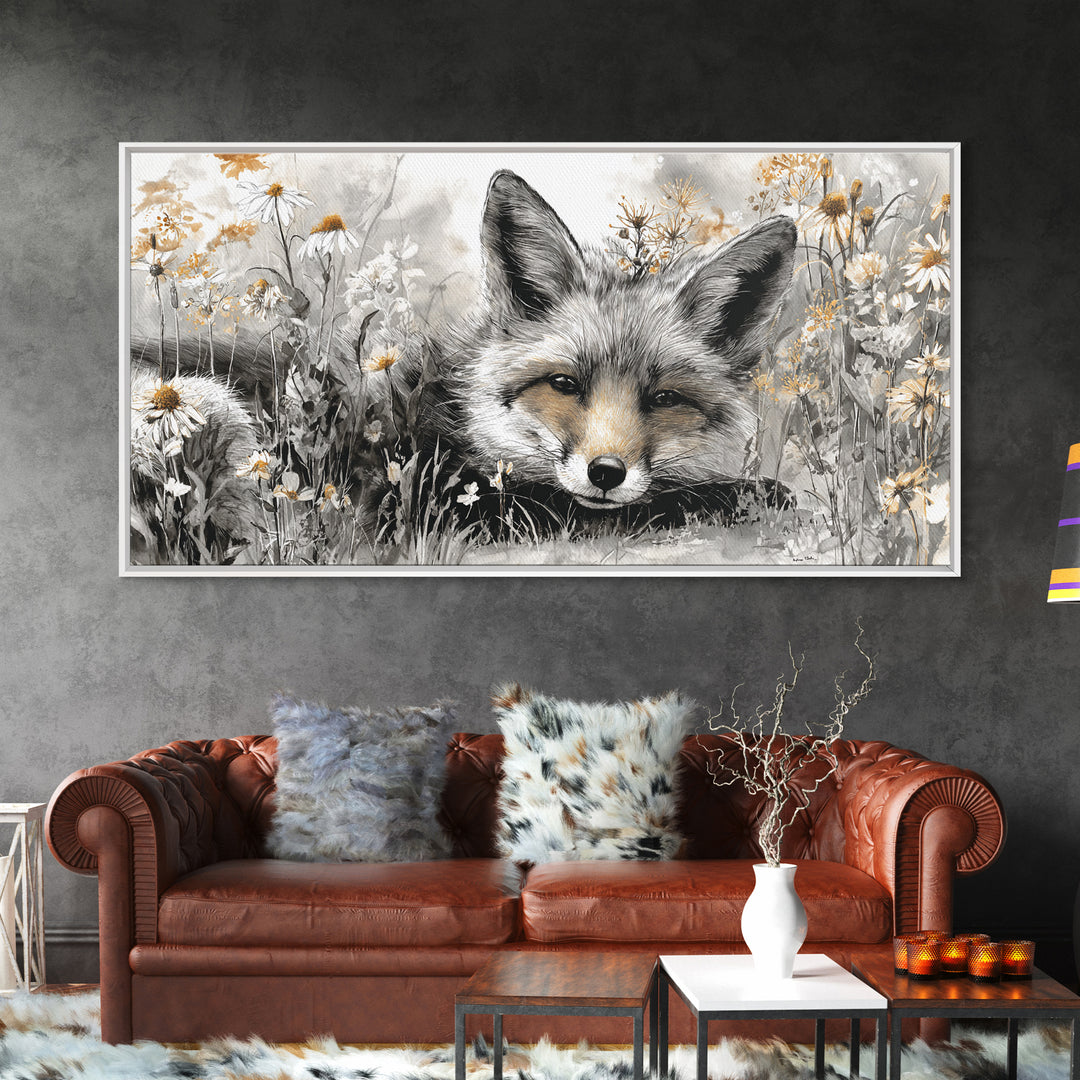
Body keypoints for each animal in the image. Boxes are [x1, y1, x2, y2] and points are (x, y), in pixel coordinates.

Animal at [406, 169, 799, 534]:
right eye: (563, 383)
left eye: (666, 398)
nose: (606, 472)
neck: (451, 419)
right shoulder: (468, 507)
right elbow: (661, 501)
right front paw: (752, 492)